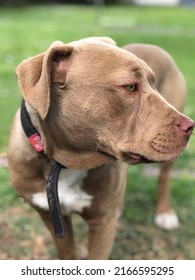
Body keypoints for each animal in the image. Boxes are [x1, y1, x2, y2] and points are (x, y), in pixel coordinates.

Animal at [7, 37, 193, 260]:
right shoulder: (52, 217)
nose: (190, 126)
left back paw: (164, 213)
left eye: (154, 85)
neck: (65, 162)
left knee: (164, 178)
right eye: (131, 86)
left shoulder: (102, 224)